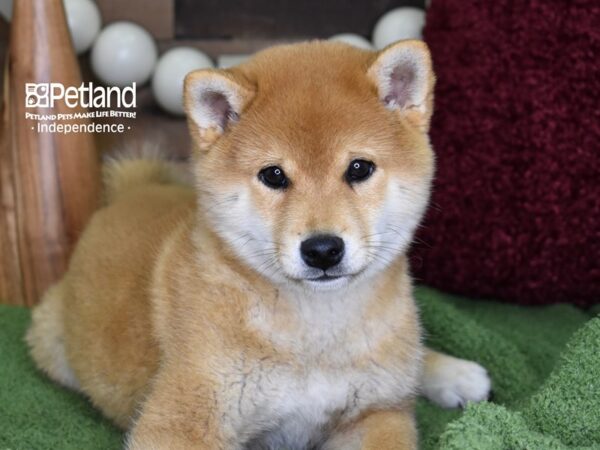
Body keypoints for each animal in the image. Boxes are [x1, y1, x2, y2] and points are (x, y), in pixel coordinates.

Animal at [25, 40, 490, 448]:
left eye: (359, 168)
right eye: (274, 175)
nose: (323, 249)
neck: (316, 335)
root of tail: (132, 191)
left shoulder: (379, 413)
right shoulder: (183, 420)